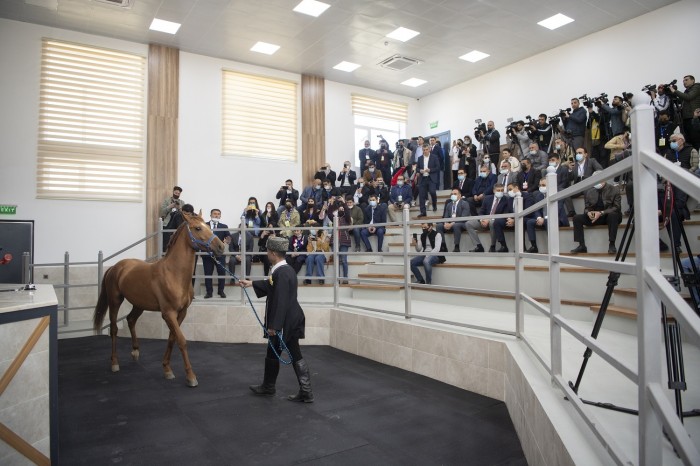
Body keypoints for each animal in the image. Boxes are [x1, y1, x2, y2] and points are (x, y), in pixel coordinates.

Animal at [92, 210, 224, 386]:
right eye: (198, 228)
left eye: (208, 226)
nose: (221, 246)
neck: (174, 274)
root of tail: (115, 266)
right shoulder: (168, 313)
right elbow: (181, 340)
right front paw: (190, 376)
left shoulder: (181, 313)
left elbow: (172, 338)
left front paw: (167, 369)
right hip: (115, 301)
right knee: (114, 329)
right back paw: (114, 363)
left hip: (139, 304)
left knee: (131, 320)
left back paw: (135, 351)